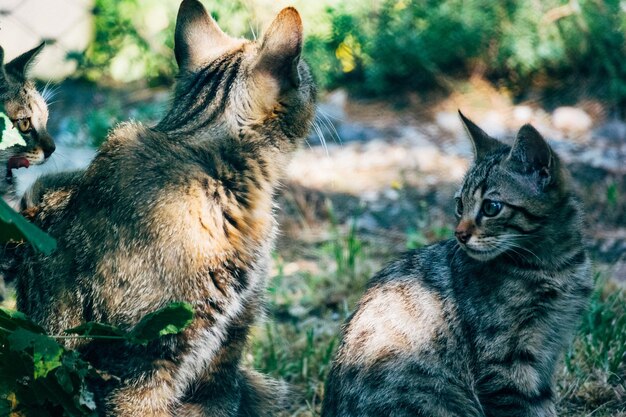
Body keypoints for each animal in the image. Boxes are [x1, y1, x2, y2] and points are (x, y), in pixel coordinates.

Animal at [322, 112, 588, 416]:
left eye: (491, 207)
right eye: (460, 204)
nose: (459, 234)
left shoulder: (546, 352)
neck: (554, 267)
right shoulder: (503, 364)